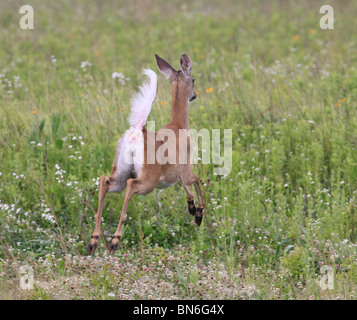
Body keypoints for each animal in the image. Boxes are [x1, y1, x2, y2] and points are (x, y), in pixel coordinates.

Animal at [86, 52, 204, 254]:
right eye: (194, 80)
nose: (195, 95)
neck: (179, 125)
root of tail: (136, 132)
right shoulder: (186, 169)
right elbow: (197, 180)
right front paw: (199, 213)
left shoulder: (176, 174)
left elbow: (186, 187)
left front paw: (191, 207)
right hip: (148, 179)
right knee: (131, 185)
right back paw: (114, 240)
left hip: (121, 172)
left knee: (104, 181)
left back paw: (94, 240)